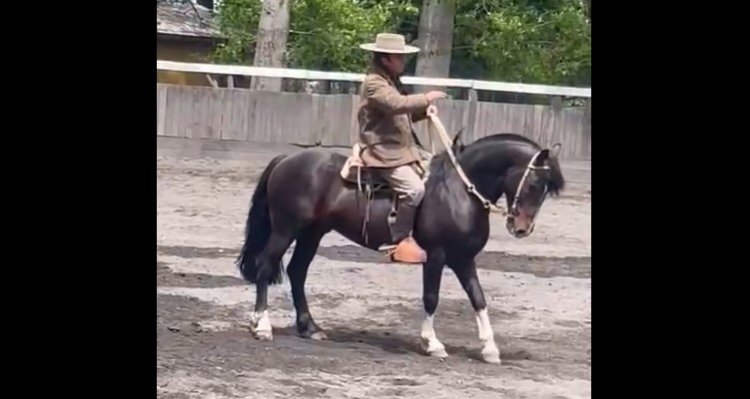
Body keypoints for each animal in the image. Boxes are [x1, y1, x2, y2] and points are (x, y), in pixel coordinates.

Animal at [238, 132, 568, 366]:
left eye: (545, 189)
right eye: (534, 184)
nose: (521, 229)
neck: (458, 192)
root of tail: (287, 159)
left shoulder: (464, 259)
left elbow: (479, 299)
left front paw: (489, 349)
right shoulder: (436, 256)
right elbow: (431, 298)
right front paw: (432, 344)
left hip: (312, 234)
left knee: (297, 273)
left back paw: (310, 327)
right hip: (286, 229)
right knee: (266, 266)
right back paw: (261, 325)